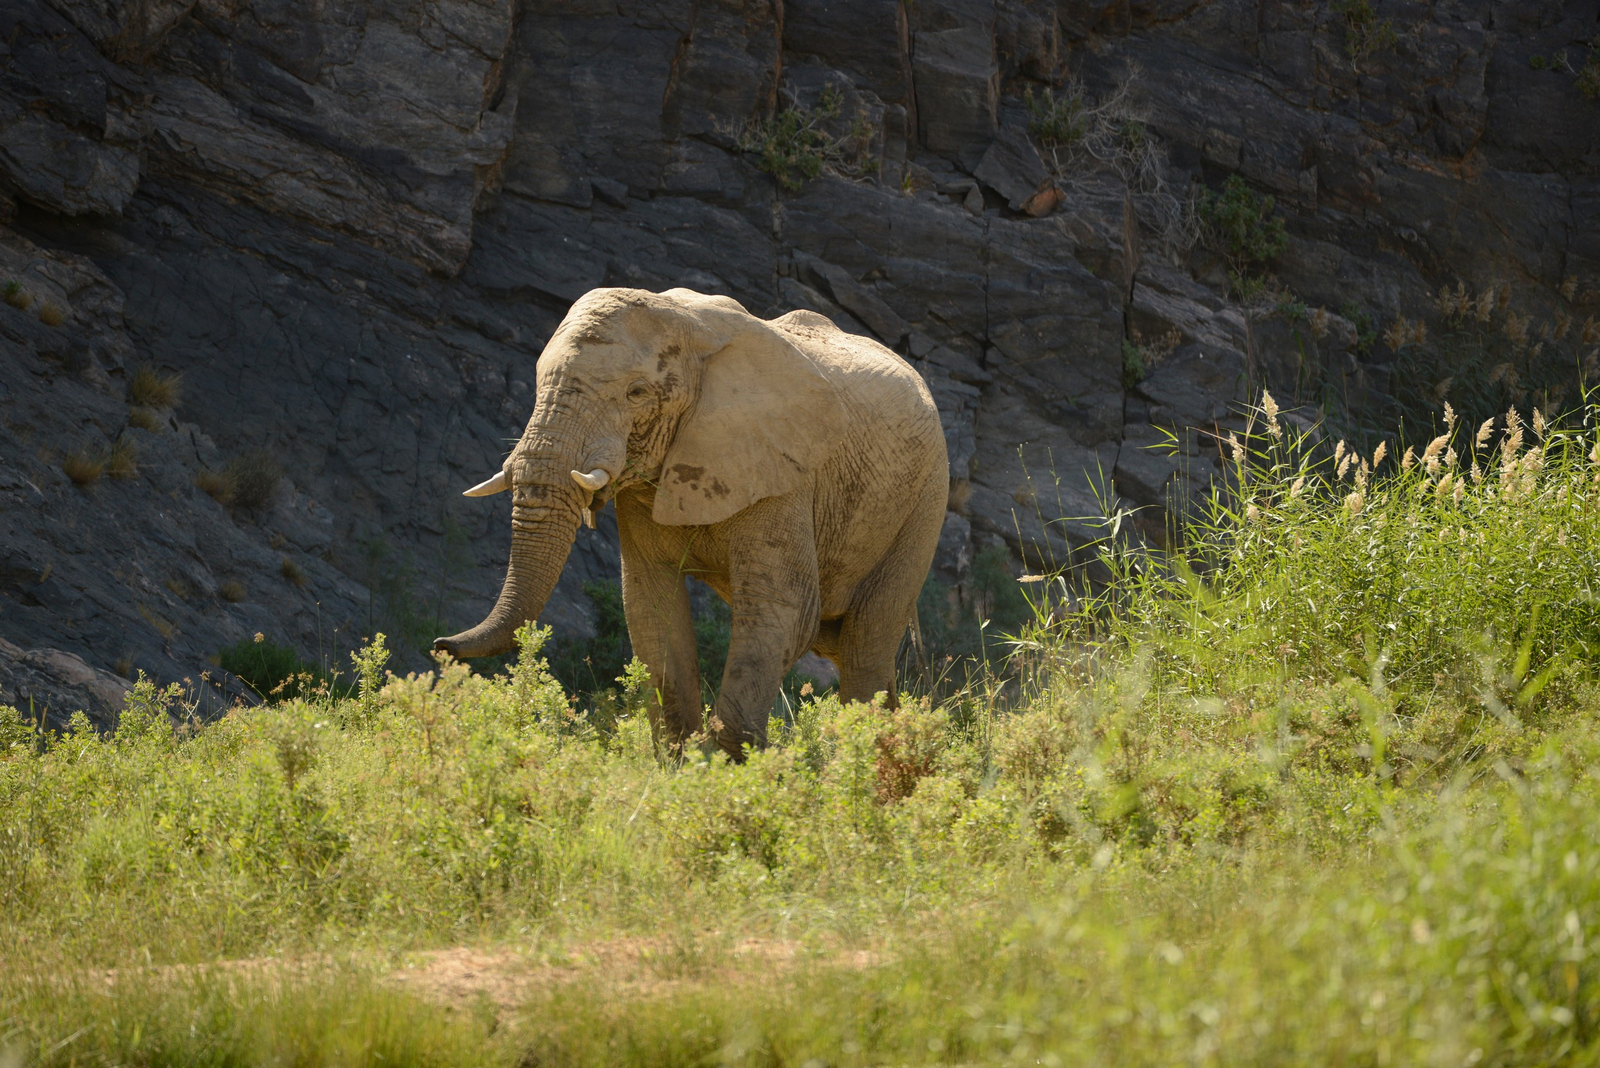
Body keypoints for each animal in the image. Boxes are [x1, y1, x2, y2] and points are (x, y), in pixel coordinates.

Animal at [435, 286, 949, 758]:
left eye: (636, 393)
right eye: (540, 384)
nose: (441, 646)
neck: (686, 326)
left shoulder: (784, 470)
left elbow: (784, 608)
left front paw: (736, 768)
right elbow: (650, 606)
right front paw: (687, 764)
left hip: (923, 502)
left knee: (866, 645)